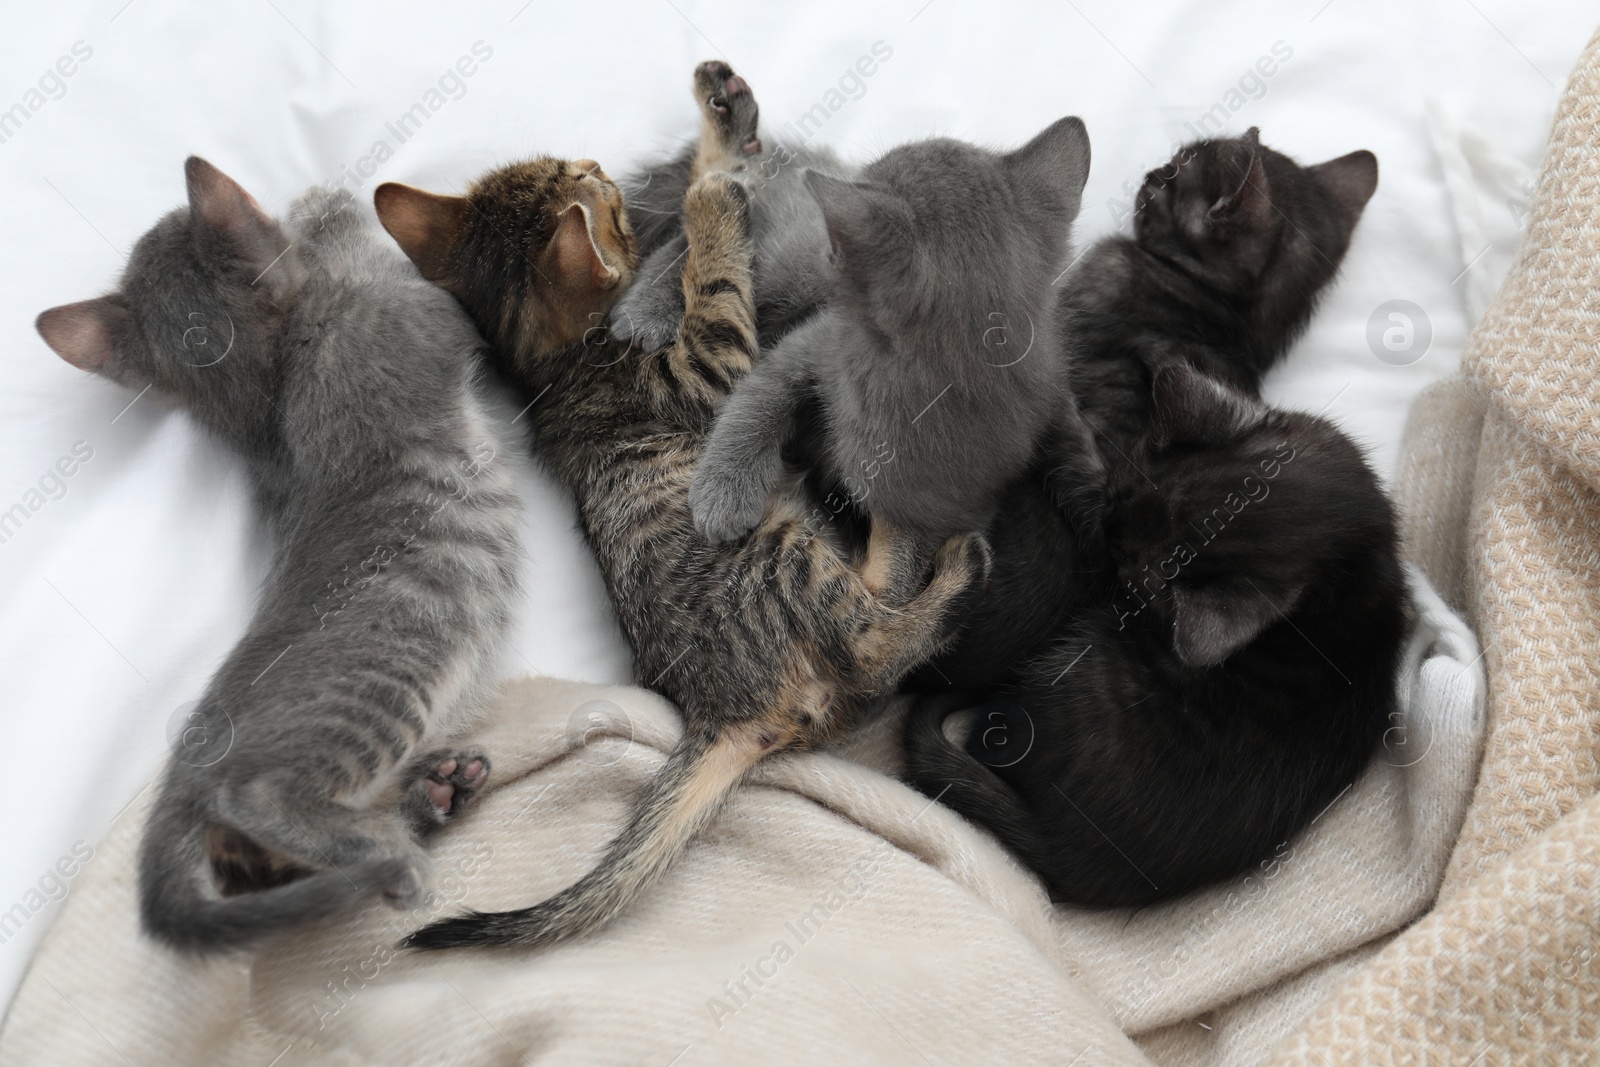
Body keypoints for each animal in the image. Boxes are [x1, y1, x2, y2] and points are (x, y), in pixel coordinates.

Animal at [34, 158, 518, 953]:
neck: (271, 404)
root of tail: (189, 763)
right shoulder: (421, 312)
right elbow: (402, 283)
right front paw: (327, 211)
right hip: (373, 699)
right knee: (258, 798)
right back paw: (396, 850)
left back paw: (431, 799)